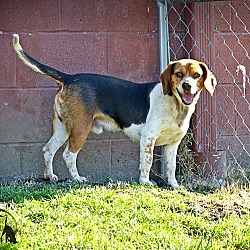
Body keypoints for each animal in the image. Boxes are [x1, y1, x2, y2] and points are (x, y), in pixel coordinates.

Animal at [13, 34, 217, 188]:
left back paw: (50, 177)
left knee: (48, 150)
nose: (187, 85)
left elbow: (171, 167)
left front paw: (174, 185)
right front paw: (145, 182)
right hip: (80, 129)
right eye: (179, 74)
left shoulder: (172, 144)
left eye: (197, 75)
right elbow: (147, 162)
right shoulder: (148, 138)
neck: (176, 105)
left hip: (63, 129)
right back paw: (77, 179)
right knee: (68, 155)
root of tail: (70, 78)